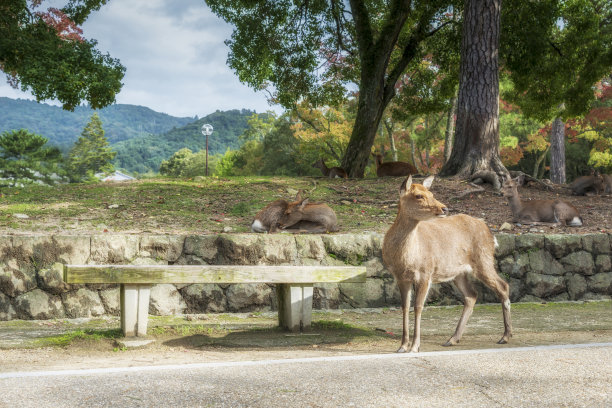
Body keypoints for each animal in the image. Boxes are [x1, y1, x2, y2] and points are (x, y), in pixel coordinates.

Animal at [382, 176, 512, 354]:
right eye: (418, 196)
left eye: (431, 193)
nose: (444, 208)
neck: (406, 257)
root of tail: (490, 233)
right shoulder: (400, 277)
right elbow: (404, 307)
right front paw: (402, 346)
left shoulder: (425, 273)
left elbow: (418, 307)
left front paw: (415, 347)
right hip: (458, 272)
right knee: (472, 294)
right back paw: (452, 339)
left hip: (483, 259)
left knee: (503, 286)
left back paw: (505, 336)